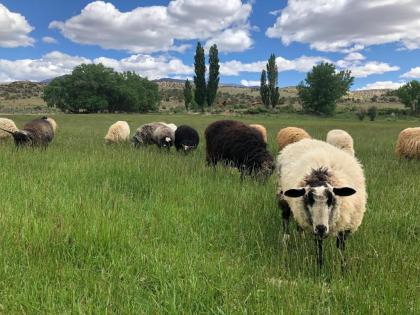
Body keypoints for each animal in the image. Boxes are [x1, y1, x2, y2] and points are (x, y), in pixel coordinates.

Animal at [278, 139, 366, 268]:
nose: (321, 228)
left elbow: (341, 247)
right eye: (309, 199)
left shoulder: (345, 225)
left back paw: (301, 238)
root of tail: (303, 140)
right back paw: (285, 239)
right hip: (283, 196)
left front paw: (344, 268)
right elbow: (319, 248)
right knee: (285, 218)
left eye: (331, 200)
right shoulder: (315, 229)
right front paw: (320, 267)